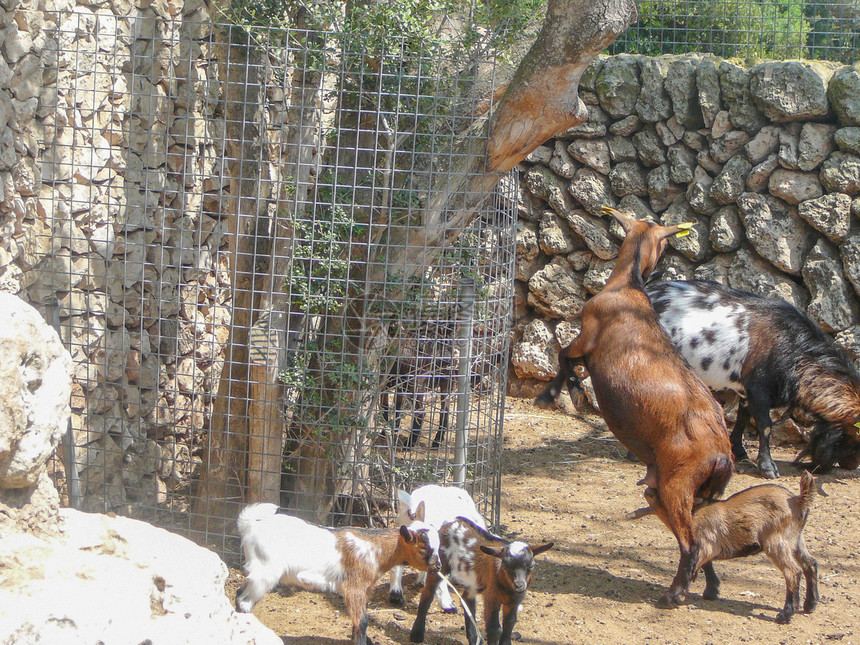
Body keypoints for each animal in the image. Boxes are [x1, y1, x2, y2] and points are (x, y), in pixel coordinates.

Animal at [536, 208, 732, 608]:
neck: (626, 287)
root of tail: (721, 453)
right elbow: (565, 360)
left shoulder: (587, 337)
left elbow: (563, 356)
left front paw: (564, 395)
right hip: (686, 492)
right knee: (699, 534)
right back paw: (709, 587)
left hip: (677, 484)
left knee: (691, 542)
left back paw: (675, 595)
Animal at [648, 278, 860, 478]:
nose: (852, 465)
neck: (791, 345)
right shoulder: (759, 389)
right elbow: (765, 425)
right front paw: (767, 467)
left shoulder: (746, 390)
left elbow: (743, 416)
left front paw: (740, 451)